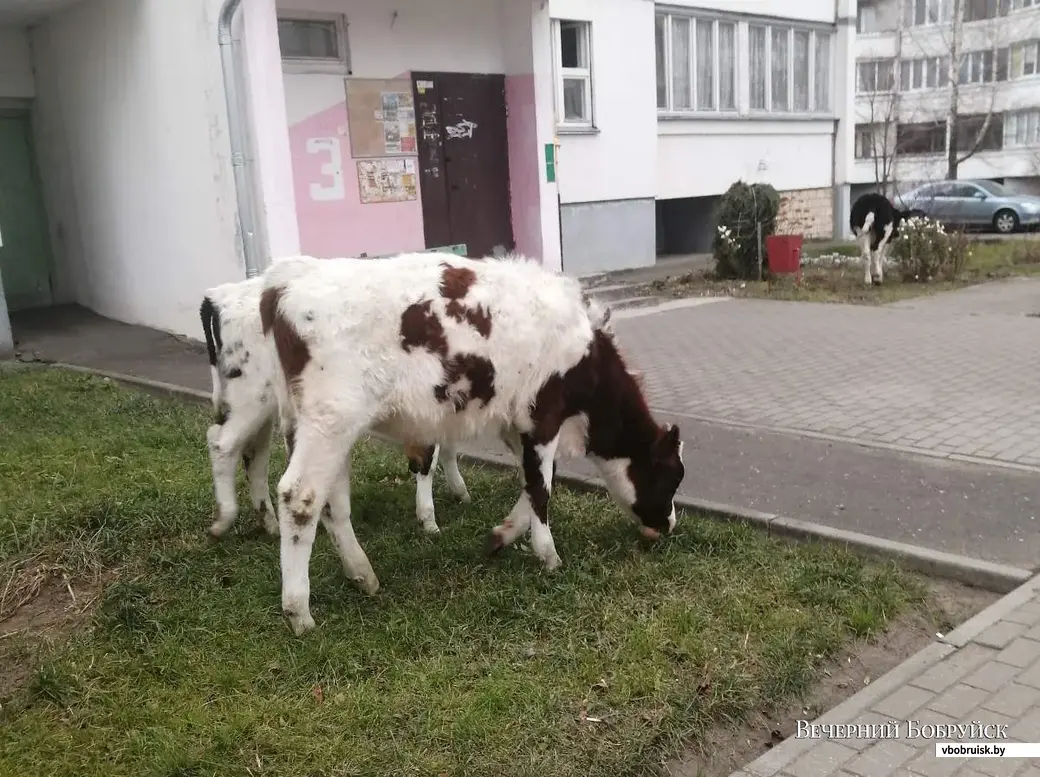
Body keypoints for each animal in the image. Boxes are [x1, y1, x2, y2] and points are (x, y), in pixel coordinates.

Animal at [195, 278, 472, 540]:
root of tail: (219, 295)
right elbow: (428, 461)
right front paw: (429, 521)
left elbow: (448, 449)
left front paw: (459, 492)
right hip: (252, 396)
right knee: (222, 442)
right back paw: (224, 519)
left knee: (253, 453)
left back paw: (270, 524)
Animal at [260, 252, 682, 636]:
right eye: (672, 476)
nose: (670, 524)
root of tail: (283, 281)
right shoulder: (543, 414)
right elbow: (542, 487)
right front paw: (548, 555)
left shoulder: (514, 421)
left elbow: (533, 482)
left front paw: (502, 536)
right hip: (330, 421)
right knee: (301, 497)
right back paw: (299, 612)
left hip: (316, 426)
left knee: (333, 504)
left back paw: (362, 575)